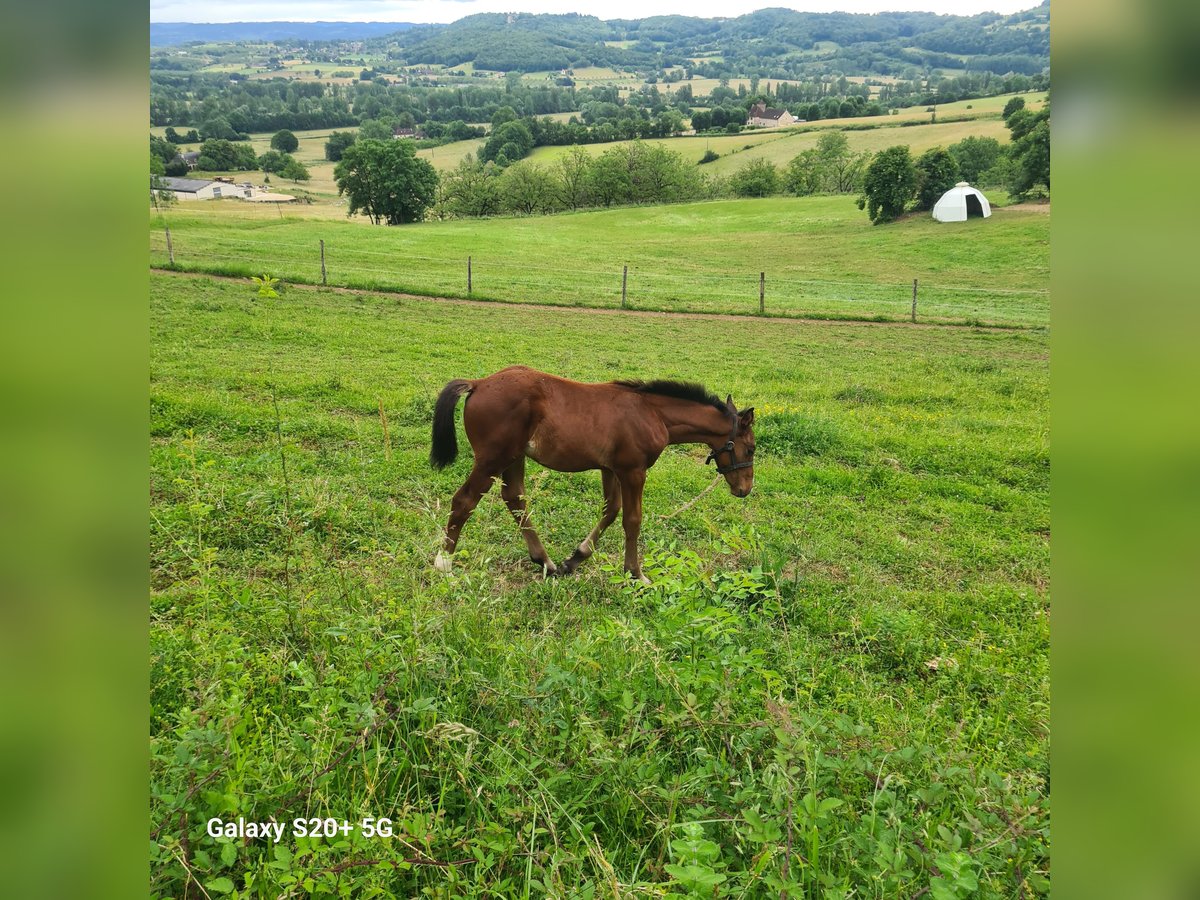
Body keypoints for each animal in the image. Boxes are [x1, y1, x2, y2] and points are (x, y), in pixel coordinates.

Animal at [427, 364, 753, 580]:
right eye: (750, 449)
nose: (744, 489)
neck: (653, 413)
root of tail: (479, 382)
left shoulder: (611, 469)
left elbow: (611, 511)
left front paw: (575, 559)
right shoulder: (634, 471)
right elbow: (632, 520)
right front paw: (636, 574)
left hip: (513, 458)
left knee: (515, 499)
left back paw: (546, 562)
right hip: (493, 458)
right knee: (465, 501)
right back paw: (444, 563)